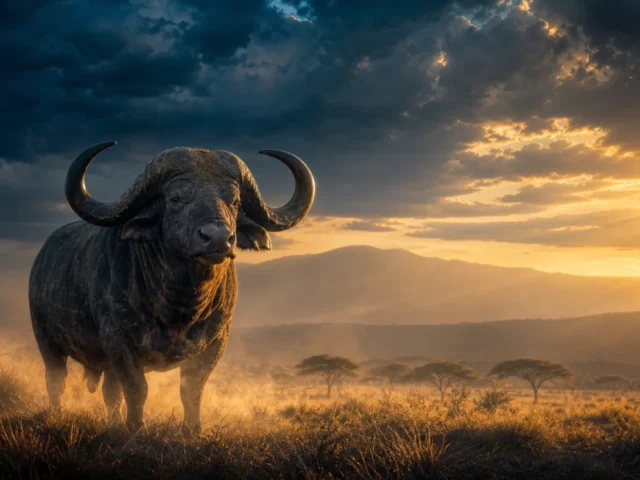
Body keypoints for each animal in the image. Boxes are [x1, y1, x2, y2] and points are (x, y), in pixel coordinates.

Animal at [29, 142, 315, 431]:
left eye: (234, 201)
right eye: (176, 199)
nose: (218, 238)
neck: (180, 304)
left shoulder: (215, 342)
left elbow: (192, 389)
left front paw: (192, 429)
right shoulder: (118, 341)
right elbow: (136, 389)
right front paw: (135, 428)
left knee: (109, 392)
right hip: (47, 340)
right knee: (57, 381)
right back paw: (59, 415)